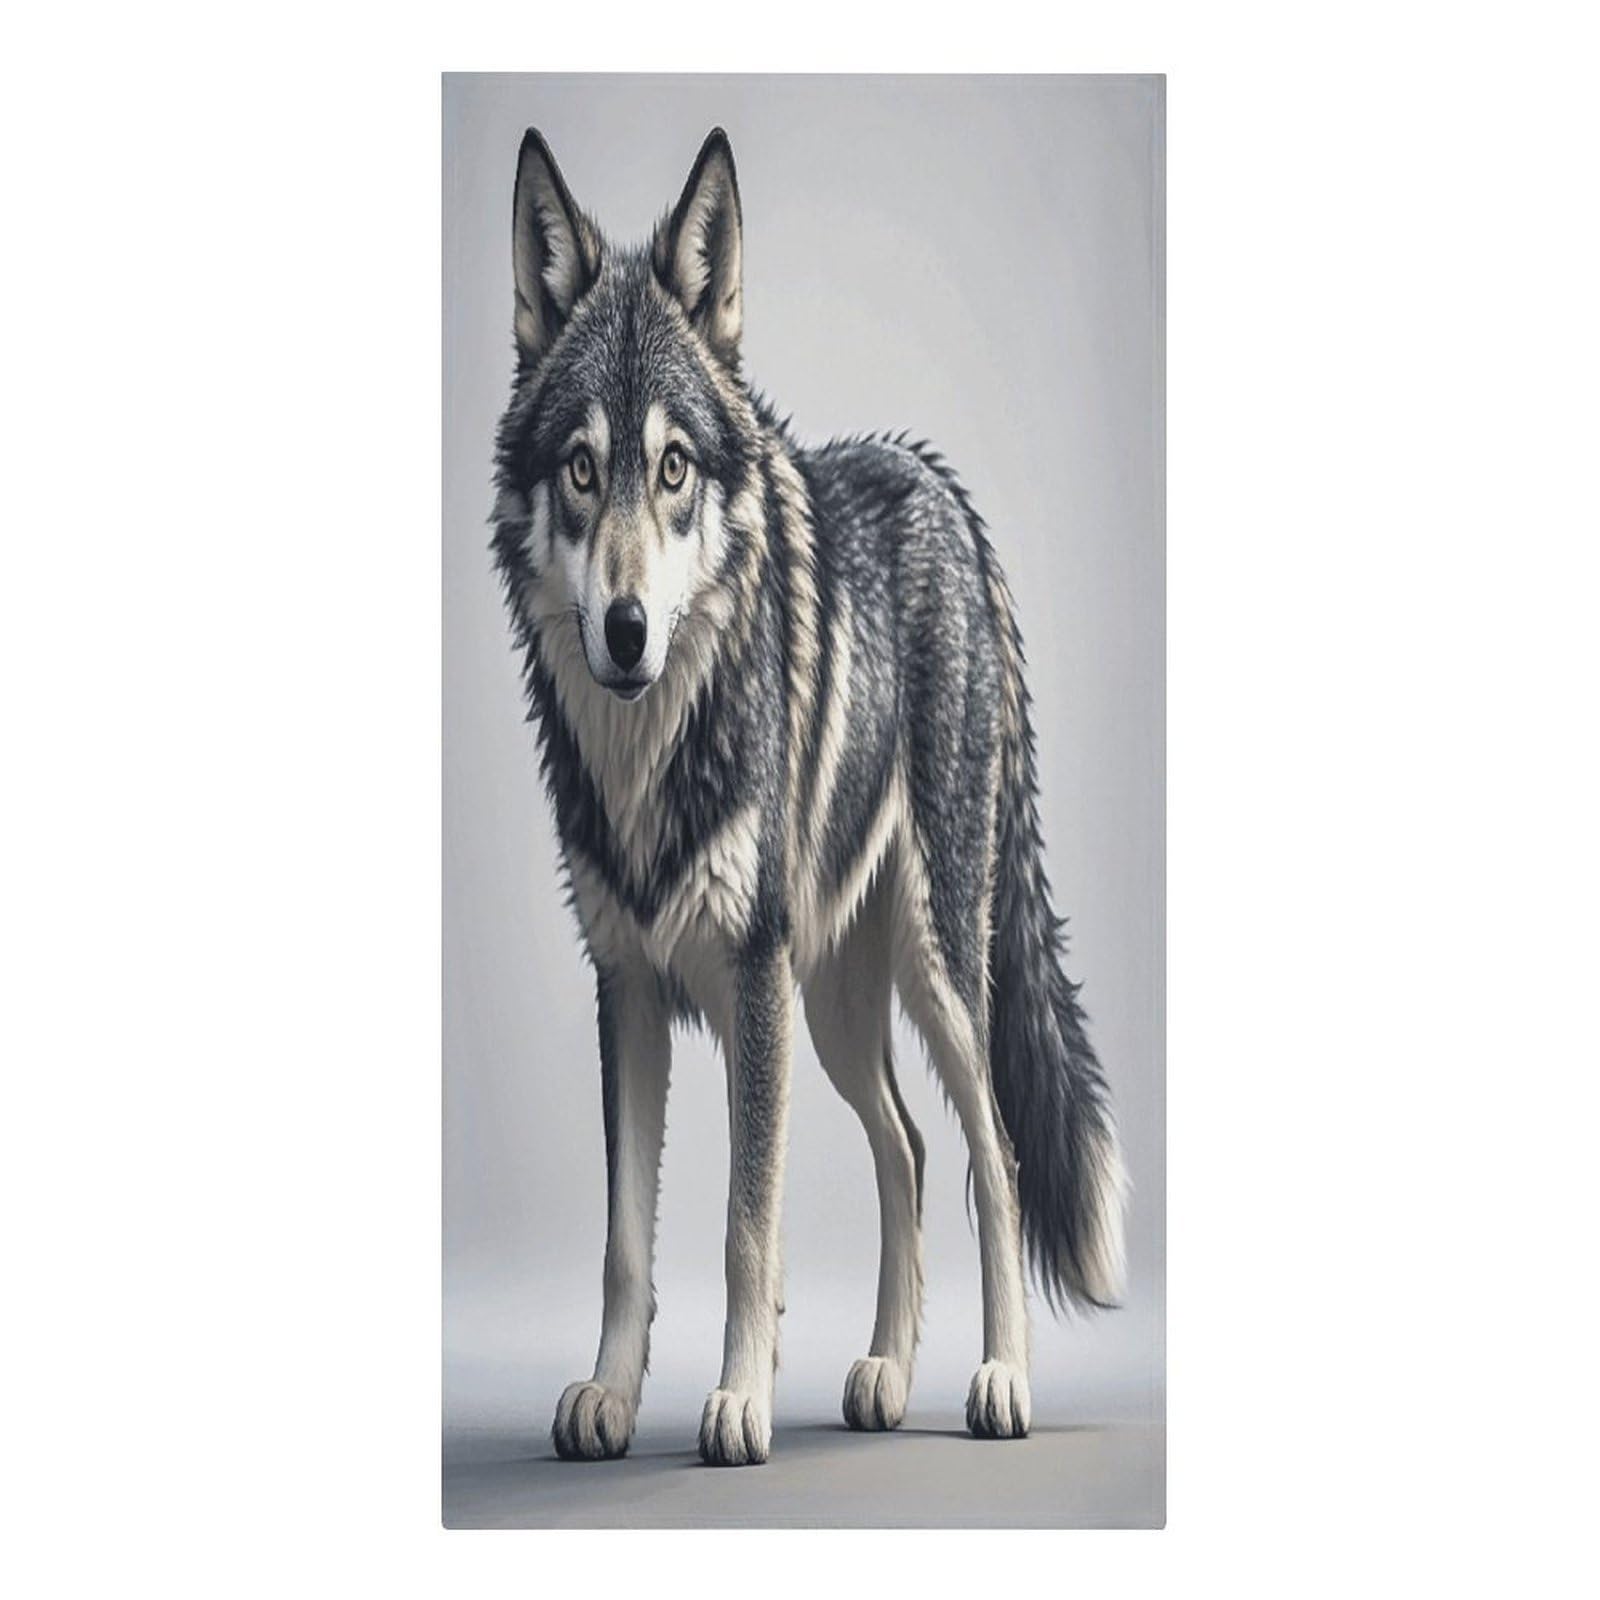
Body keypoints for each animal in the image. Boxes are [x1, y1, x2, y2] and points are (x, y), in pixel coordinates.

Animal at [491, 127, 1126, 1467]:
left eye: (674, 467)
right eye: (581, 468)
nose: (625, 630)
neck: (657, 745)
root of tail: (944, 492)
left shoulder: (747, 983)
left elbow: (746, 1225)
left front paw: (735, 1401)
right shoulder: (627, 986)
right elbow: (627, 1241)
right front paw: (611, 1396)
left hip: (929, 976)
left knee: (991, 1151)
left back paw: (1000, 1380)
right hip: (831, 1004)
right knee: (911, 1146)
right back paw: (884, 1373)